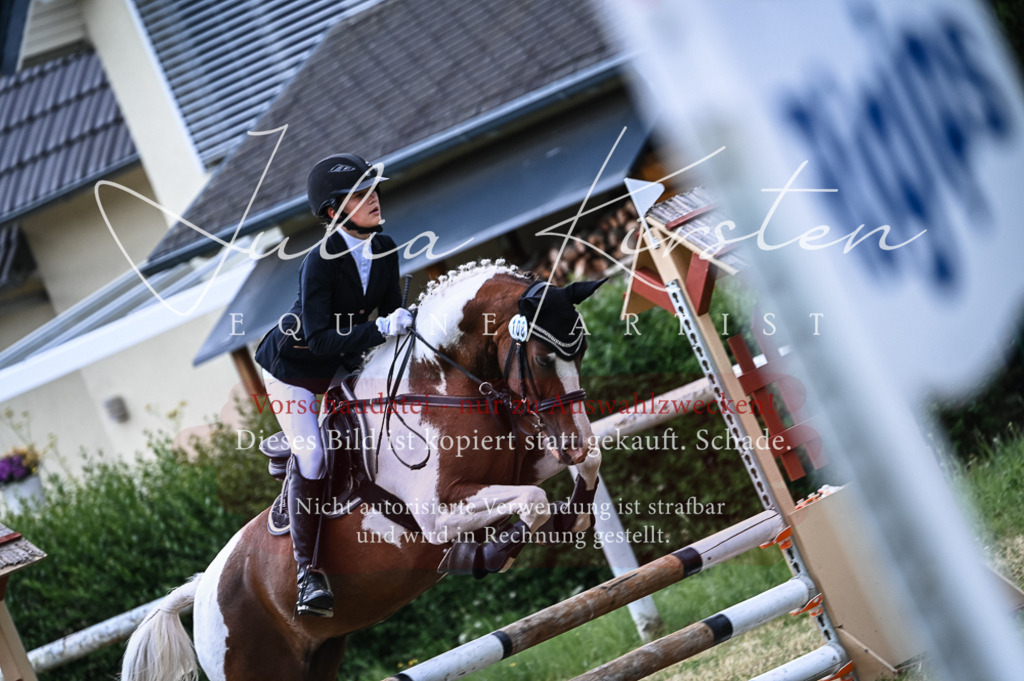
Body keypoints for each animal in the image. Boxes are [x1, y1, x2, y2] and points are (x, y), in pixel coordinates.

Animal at [120, 262, 605, 681]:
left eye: (581, 351)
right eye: (542, 359)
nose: (573, 441)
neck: (442, 385)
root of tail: (202, 590)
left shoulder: (519, 465)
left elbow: (586, 465)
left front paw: (573, 517)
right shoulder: (437, 513)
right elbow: (534, 501)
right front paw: (485, 554)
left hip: (318, 656)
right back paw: (314, 590)